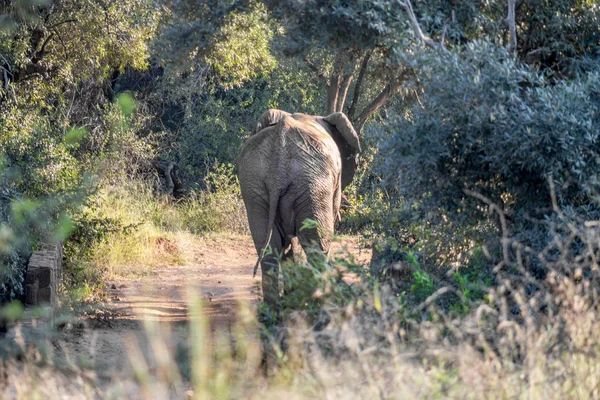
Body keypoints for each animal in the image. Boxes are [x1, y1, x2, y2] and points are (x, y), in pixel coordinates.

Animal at [238, 109, 360, 306]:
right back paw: (318, 303)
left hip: (254, 185)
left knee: (268, 248)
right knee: (318, 245)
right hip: (313, 184)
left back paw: (273, 309)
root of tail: (278, 161)